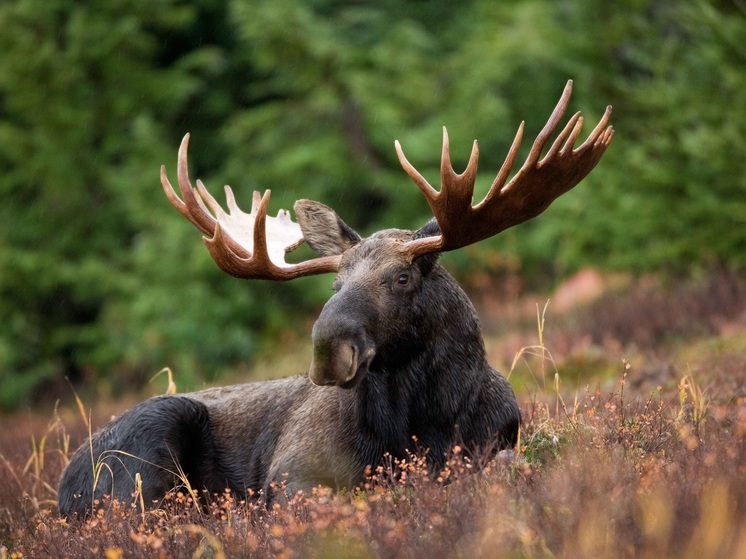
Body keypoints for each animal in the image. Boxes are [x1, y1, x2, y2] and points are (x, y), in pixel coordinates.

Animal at [55, 81, 608, 520]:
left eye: (402, 277)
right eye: (335, 285)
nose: (328, 350)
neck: (424, 422)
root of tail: (63, 488)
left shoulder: (498, 443)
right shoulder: (292, 474)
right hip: (148, 446)